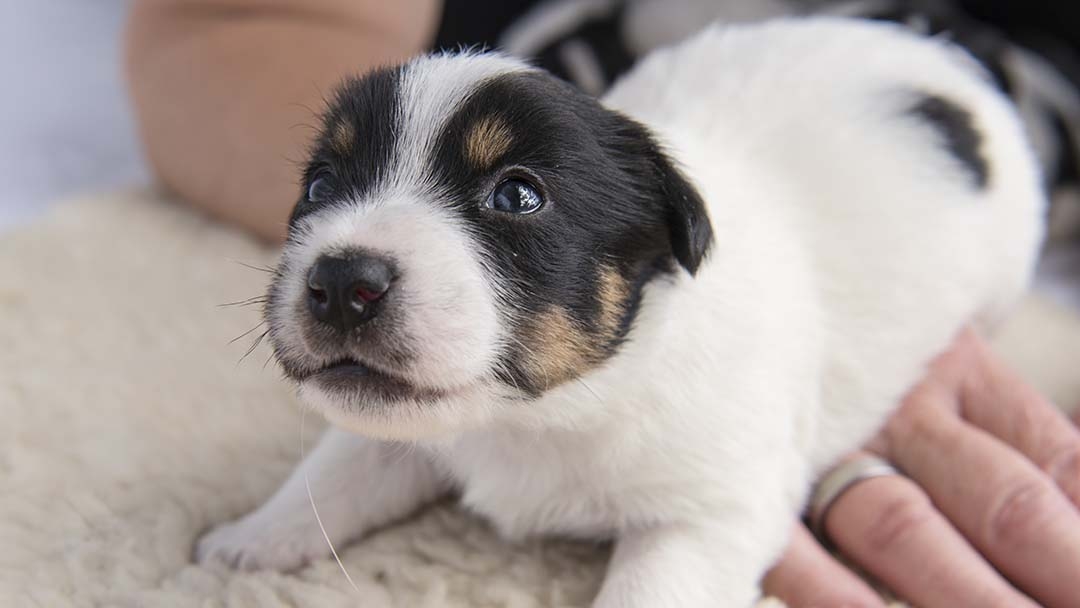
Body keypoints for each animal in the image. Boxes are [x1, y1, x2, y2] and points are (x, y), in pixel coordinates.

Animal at [198, 16, 1041, 604]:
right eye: (319, 185)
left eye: (517, 194)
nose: (341, 283)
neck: (539, 416)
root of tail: (942, 49)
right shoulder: (405, 427)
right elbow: (335, 472)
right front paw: (248, 538)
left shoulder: (711, 512)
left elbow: (651, 589)